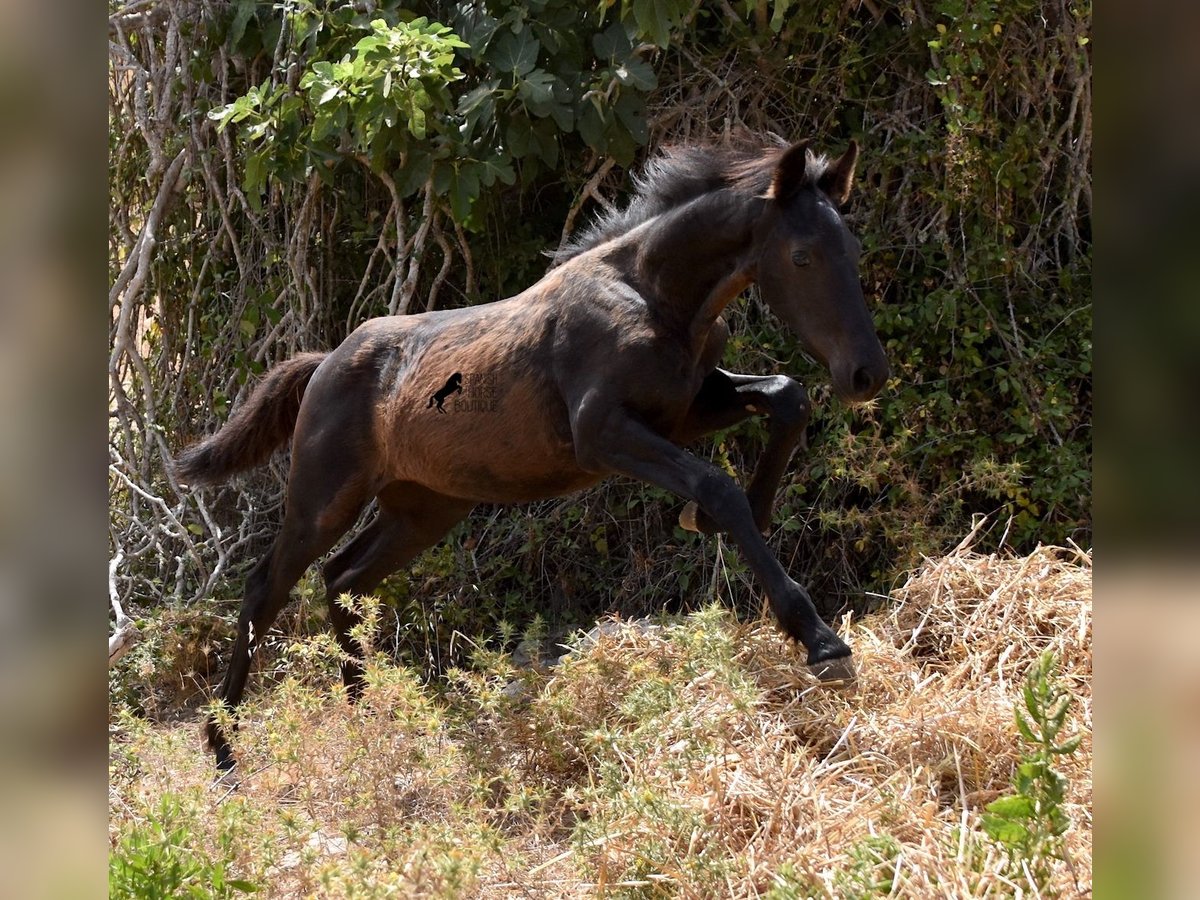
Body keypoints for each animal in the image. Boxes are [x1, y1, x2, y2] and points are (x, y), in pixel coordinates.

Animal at [177, 137, 892, 772]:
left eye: (852, 249)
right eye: (801, 256)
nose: (866, 374)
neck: (652, 296)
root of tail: (324, 362)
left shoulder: (686, 408)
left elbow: (788, 397)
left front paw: (742, 515)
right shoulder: (603, 433)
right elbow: (716, 483)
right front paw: (821, 642)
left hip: (426, 508)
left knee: (344, 579)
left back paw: (368, 718)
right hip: (325, 496)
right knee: (268, 586)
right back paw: (225, 753)